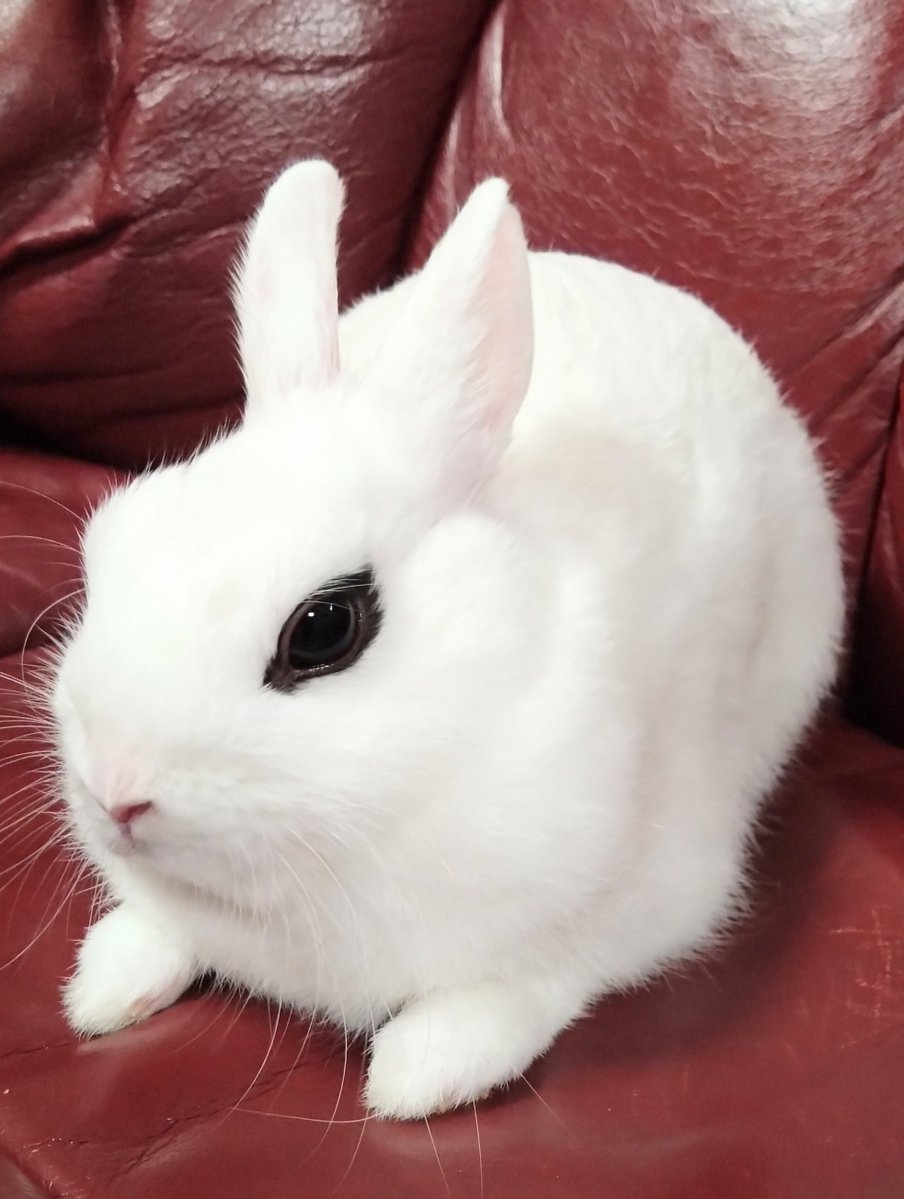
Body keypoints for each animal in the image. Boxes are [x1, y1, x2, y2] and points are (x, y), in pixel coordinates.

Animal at [52, 159, 844, 1120]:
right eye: (113, 542)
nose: (115, 792)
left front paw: (418, 1074)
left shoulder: (644, 903)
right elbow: (160, 930)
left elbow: (528, 984)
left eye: (323, 628)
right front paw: (103, 989)